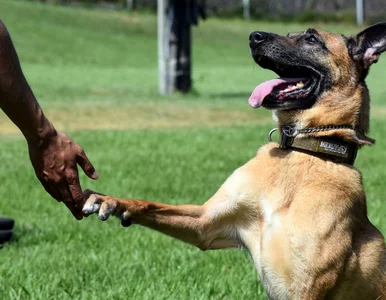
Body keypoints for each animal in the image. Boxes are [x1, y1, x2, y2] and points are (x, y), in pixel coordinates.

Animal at [83, 24, 386, 300]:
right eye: (291, 33)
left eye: (312, 38)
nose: (254, 36)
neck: (303, 152)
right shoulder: (207, 222)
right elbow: (149, 204)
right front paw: (110, 200)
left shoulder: (308, 287)